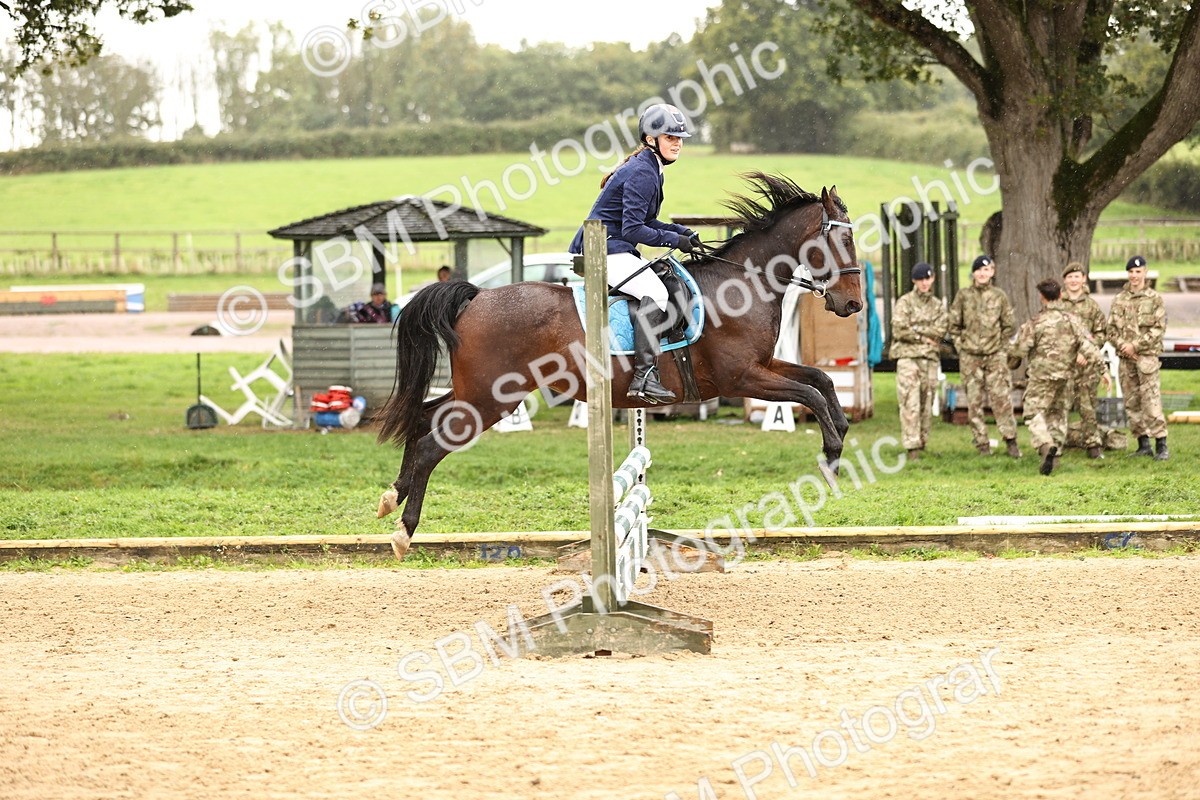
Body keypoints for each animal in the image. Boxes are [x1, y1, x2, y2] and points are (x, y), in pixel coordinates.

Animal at [375, 173, 863, 558]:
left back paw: (392, 496)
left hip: (476, 394)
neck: (741, 282)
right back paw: (403, 531)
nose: (853, 304)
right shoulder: (742, 376)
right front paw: (830, 455)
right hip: (491, 400)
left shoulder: (764, 365)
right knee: (431, 445)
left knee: (423, 419)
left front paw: (839, 435)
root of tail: (476, 297)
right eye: (842, 241)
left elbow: (820, 380)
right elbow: (809, 393)